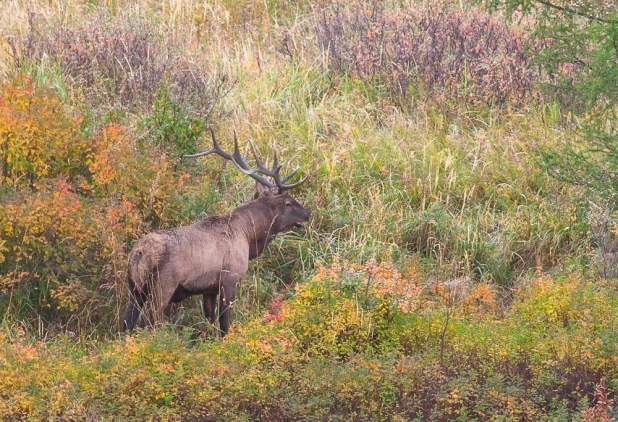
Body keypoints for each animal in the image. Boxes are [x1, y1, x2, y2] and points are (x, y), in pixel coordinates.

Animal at [121, 130, 308, 334]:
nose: (308, 214)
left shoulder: (209, 289)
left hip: (134, 288)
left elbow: (210, 319)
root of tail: (138, 254)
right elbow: (224, 324)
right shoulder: (229, 278)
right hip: (161, 286)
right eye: (289, 203)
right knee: (144, 324)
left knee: (126, 323)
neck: (249, 236)